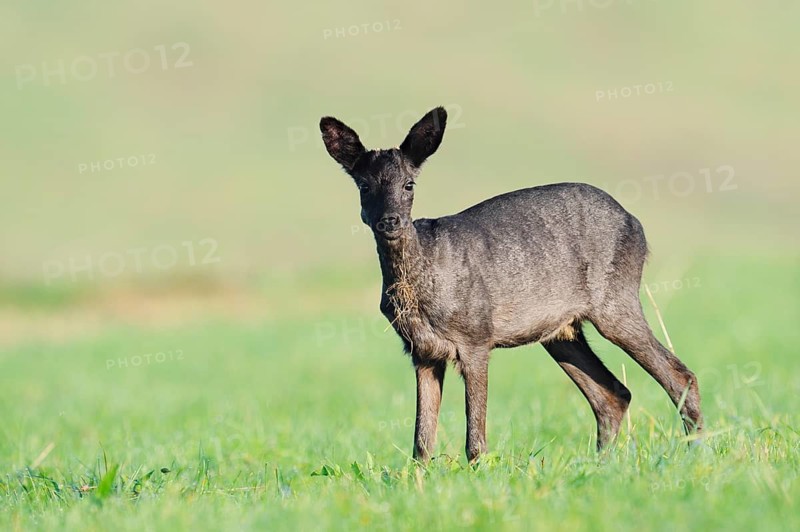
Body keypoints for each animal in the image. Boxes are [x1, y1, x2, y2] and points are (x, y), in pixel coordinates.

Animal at [319, 106, 703, 463]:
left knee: (679, 375)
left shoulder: (476, 336)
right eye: (364, 186)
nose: (390, 221)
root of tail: (637, 225)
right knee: (613, 395)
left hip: (615, 299)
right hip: (561, 332)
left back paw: (696, 454)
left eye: (409, 184)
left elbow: (475, 438)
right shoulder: (422, 351)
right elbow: (422, 442)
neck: (425, 279)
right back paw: (603, 464)